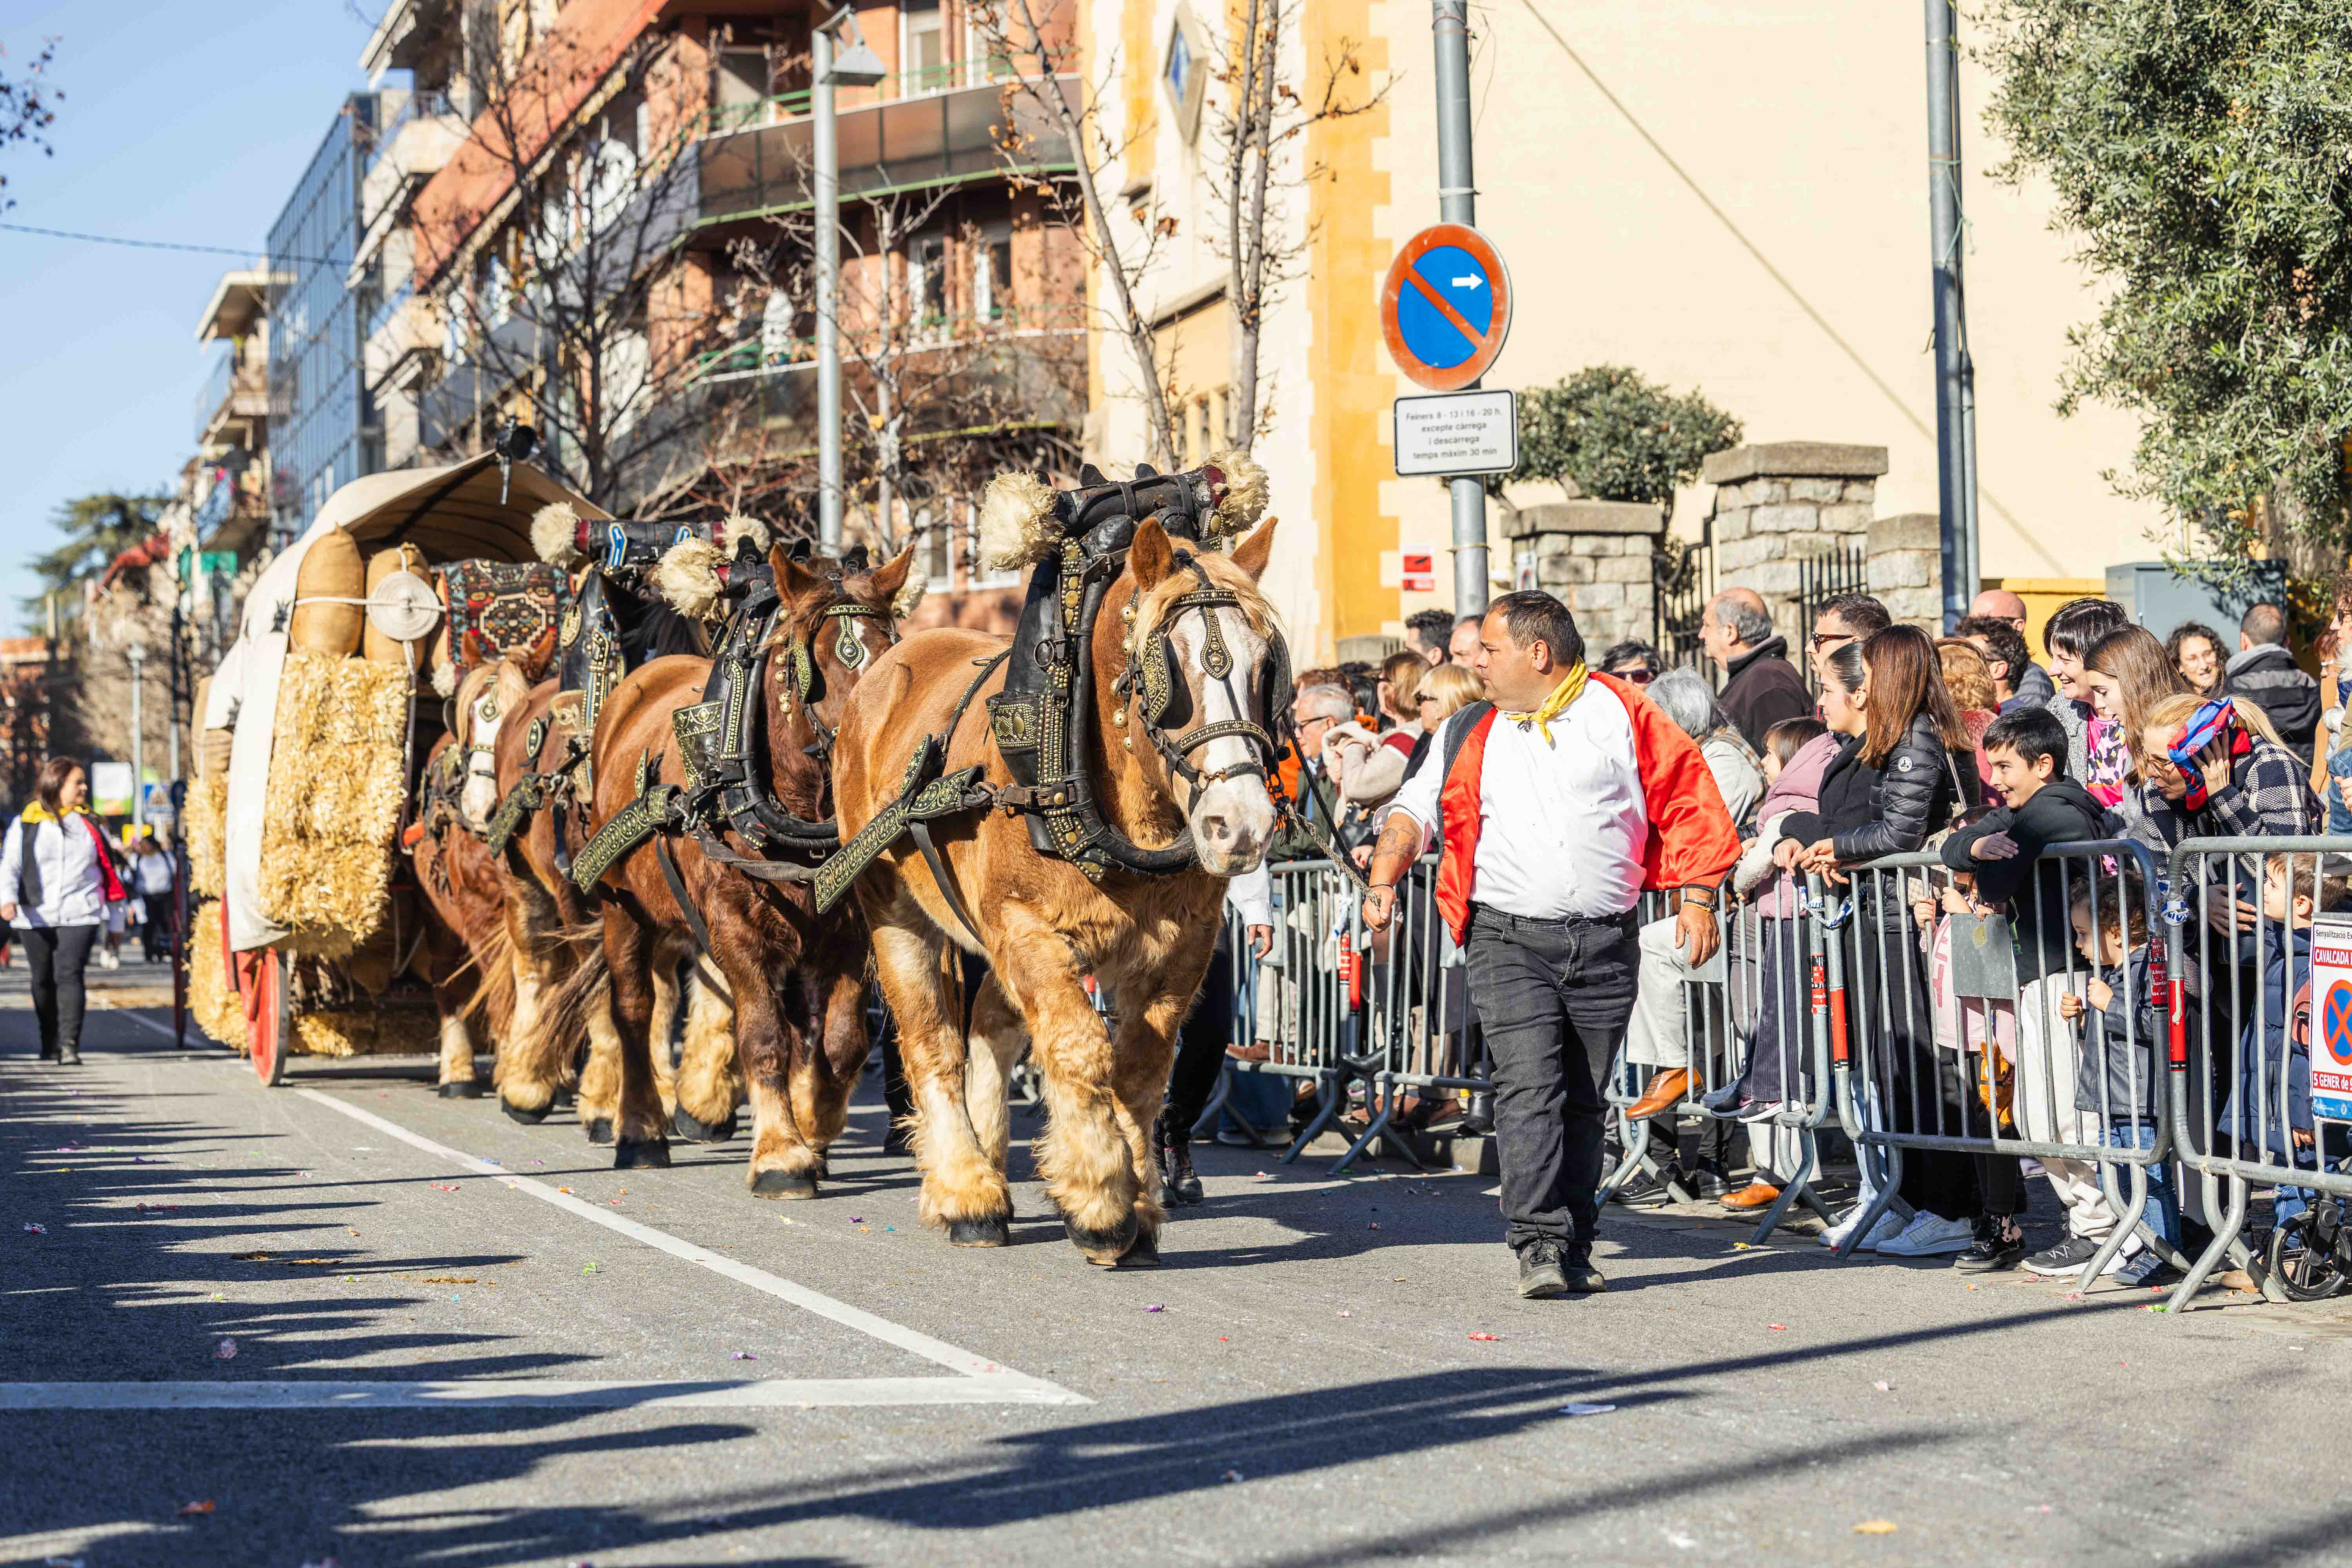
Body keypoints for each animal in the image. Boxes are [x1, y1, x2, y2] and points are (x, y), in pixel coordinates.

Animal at [579, 545, 917, 1185]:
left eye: (893, 651)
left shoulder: (848, 934)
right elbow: (764, 1037)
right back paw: (639, 1130)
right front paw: (782, 1153)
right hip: (621, 907)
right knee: (634, 1009)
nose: (867, 748)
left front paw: (813, 1125)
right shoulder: (737, 929)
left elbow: (840, 1043)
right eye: (808, 664)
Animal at [837, 522, 1289, 1269]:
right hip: (896, 910)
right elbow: (1081, 1047)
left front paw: (1136, 1203)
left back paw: (992, 1169)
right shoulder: (1029, 929)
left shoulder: (1181, 951)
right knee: (932, 1040)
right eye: (1169, 669)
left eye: (1263, 668)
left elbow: (1140, 1070)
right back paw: (966, 1191)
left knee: (991, 1027)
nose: (1243, 825)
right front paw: (1100, 1202)